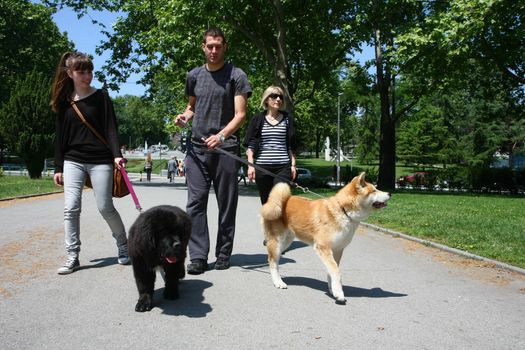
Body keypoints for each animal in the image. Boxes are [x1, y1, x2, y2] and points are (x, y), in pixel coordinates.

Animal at [262, 173, 388, 304]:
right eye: (374, 190)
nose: (389, 193)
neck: (343, 211)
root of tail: (275, 201)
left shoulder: (337, 250)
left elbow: (331, 270)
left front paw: (333, 290)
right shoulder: (323, 247)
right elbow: (336, 271)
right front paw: (339, 293)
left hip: (286, 242)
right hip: (277, 242)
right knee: (272, 262)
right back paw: (278, 282)